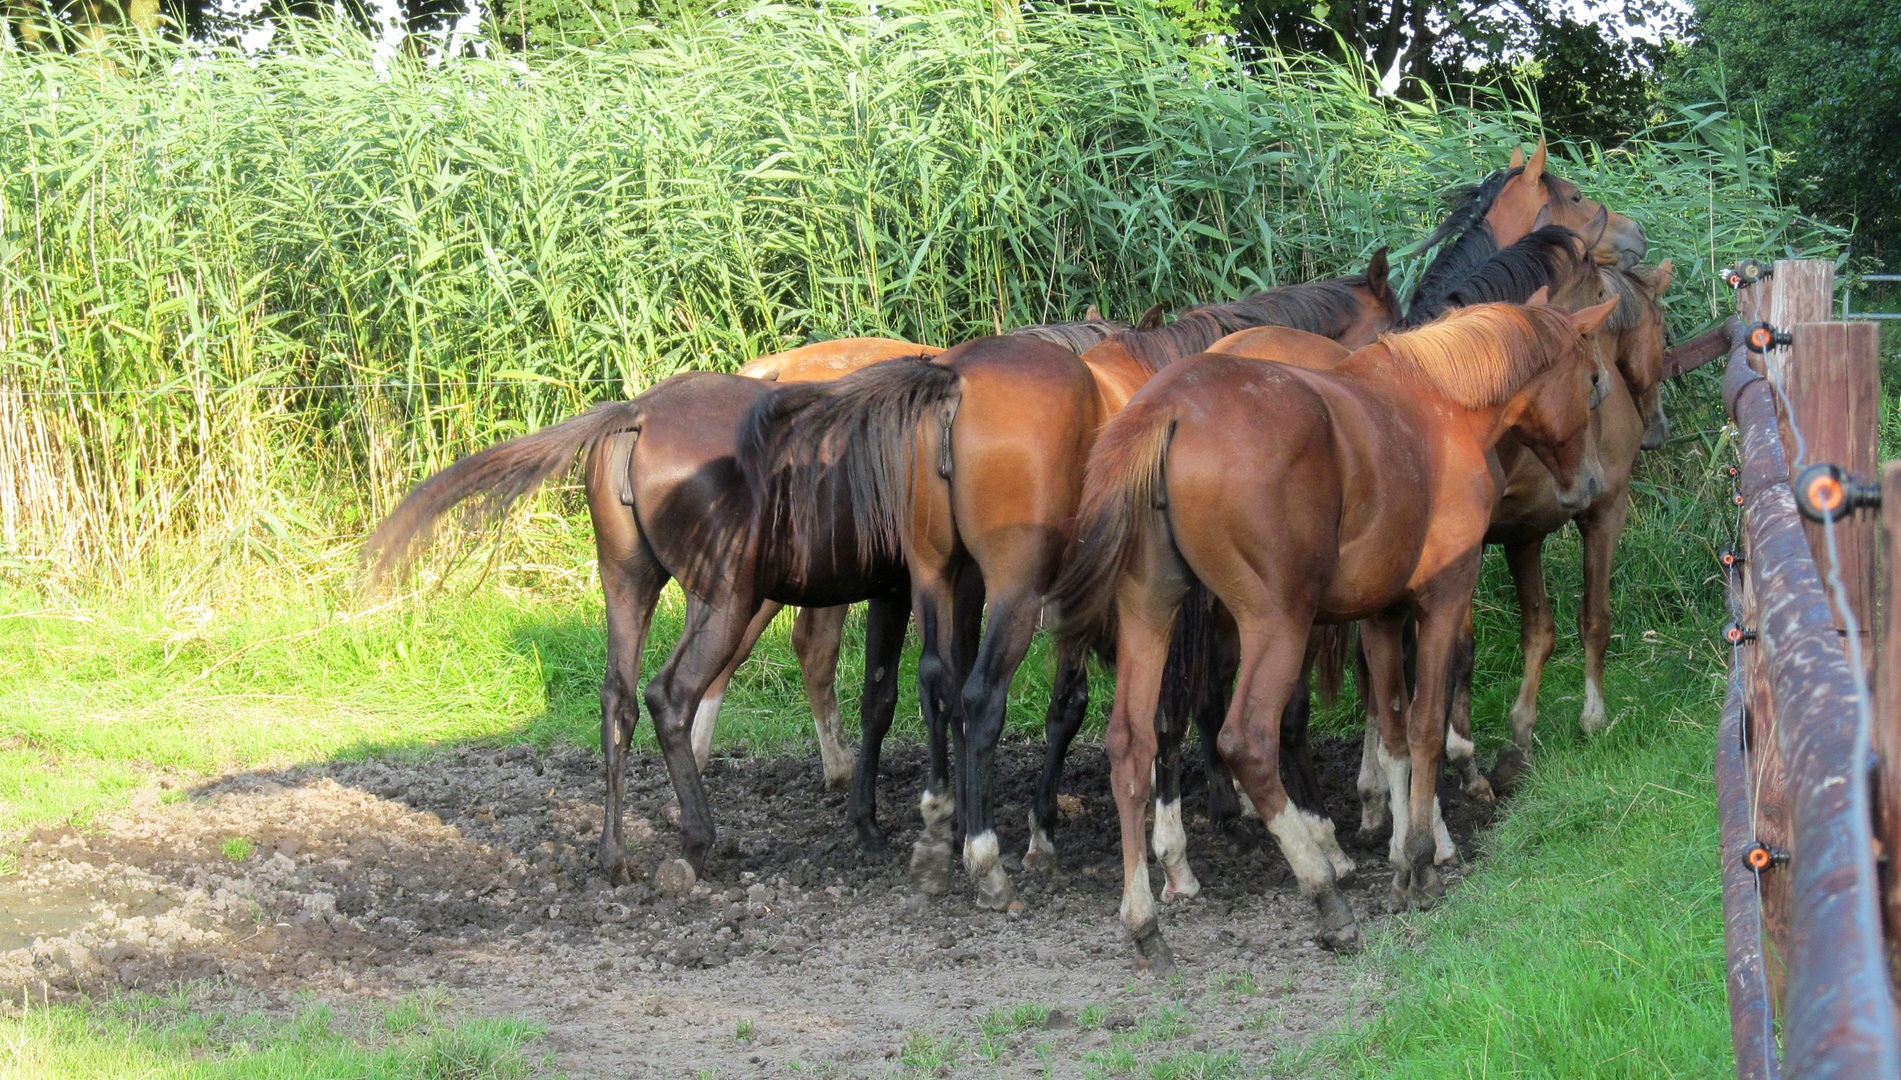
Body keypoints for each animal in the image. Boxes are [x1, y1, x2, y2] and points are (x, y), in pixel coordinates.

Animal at [741, 262, 1399, 912]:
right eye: (1388, 330)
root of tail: (954, 380)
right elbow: (1164, 709)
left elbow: (1085, 707)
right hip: (1012, 590)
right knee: (979, 695)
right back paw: (984, 858)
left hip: (934, 574)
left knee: (934, 682)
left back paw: (939, 827)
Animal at [1056, 300, 1619, 973]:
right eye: (1594, 382)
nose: (1590, 486)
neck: (1442, 403)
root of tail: (1168, 408)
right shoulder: (1443, 598)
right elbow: (1427, 728)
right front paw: (1421, 864)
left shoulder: (1381, 615)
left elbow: (1394, 735)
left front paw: (1402, 856)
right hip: (1277, 623)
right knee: (1247, 740)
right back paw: (1325, 894)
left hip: (1151, 612)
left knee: (1131, 745)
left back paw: (1145, 923)